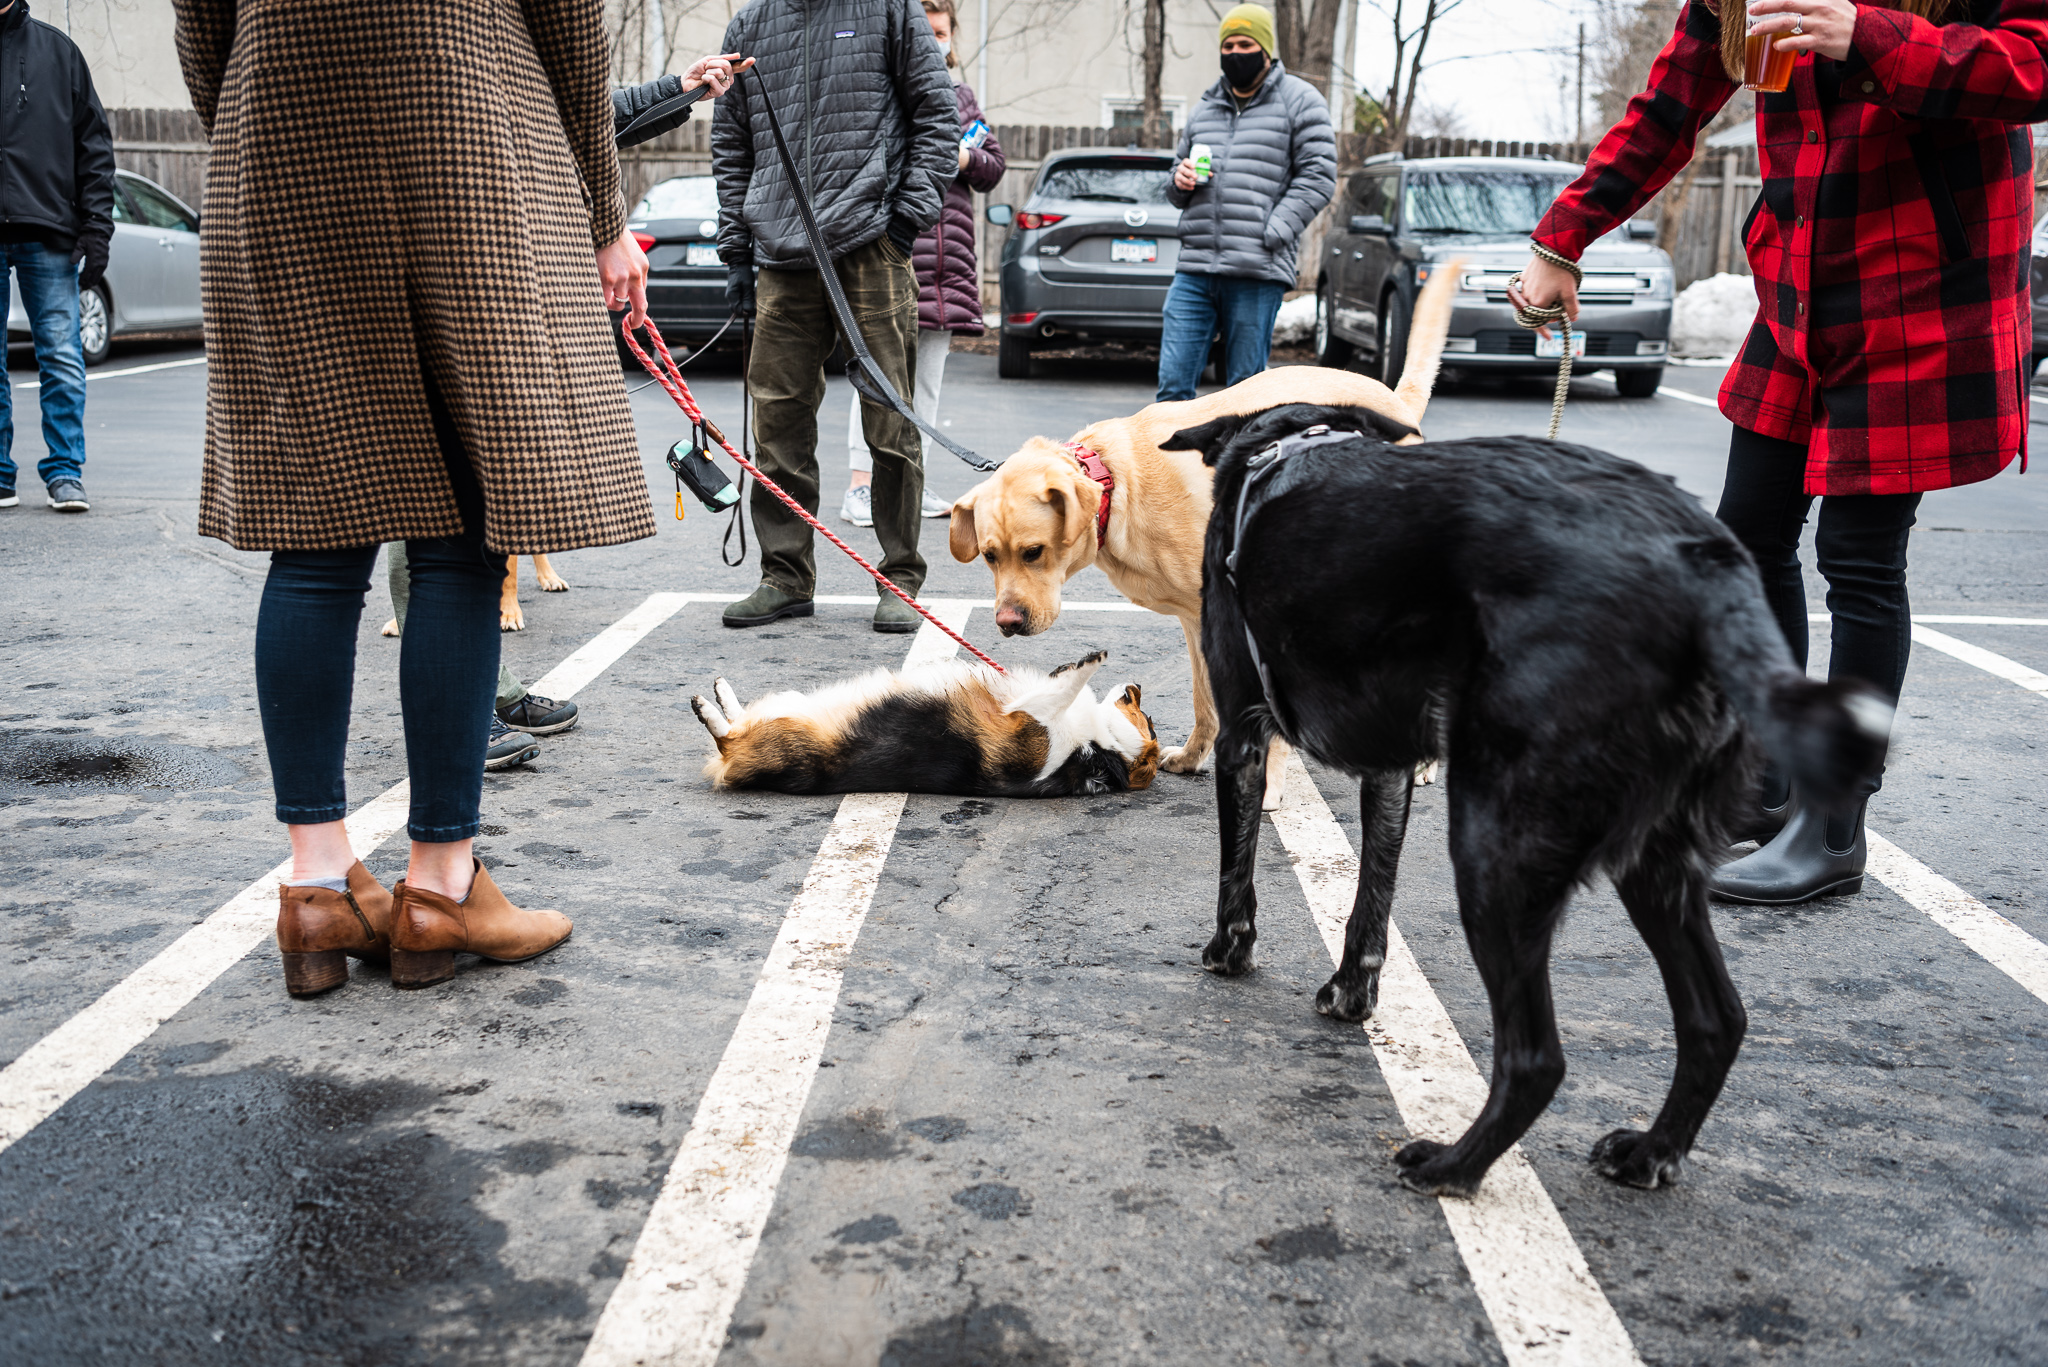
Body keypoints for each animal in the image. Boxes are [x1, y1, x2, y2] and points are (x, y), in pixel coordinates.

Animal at [696, 655, 1163, 795]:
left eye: (1150, 723)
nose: (1138, 685)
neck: (1099, 746)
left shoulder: (1030, 722)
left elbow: (1067, 688)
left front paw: (1089, 662)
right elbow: (1063, 685)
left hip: (786, 734)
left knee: (728, 739)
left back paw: (705, 707)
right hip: (790, 706)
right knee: (739, 719)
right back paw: (719, 692)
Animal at [950, 262, 1466, 807]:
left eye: (1033, 552)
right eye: (989, 557)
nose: (1006, 623)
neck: (1115, 482)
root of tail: (1394, 401)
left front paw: (1269, 784)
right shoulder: (1196, 619)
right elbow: (1205, 701)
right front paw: (1196, 757)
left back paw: (1422, 763)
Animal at [1163, 405, 1892, 1196]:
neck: (1287, 444)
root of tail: (1701, 565)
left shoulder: (1241, 736)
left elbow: (1237, 872)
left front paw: (1228, 951)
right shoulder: (1389, 771)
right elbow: (1371, 902)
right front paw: (1353, 991)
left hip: (1494, 846)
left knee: (1537, 1057)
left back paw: (1452, 1163)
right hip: (1653, 863)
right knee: (1716, 1020)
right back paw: (1651, 1151)